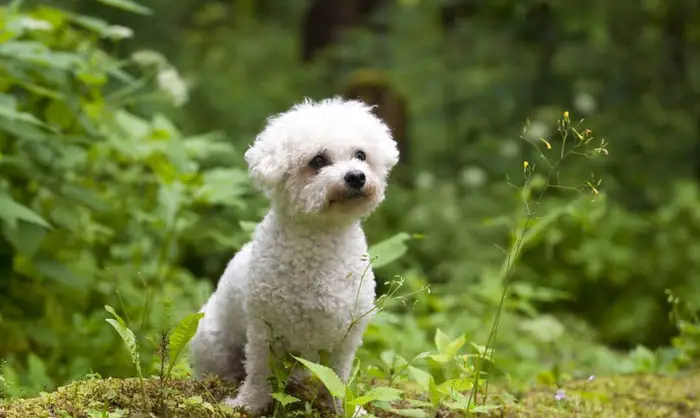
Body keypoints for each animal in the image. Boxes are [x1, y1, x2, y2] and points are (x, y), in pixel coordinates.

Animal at [190, 96, 400, 414]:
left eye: (361, 155)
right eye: (317, 161)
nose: (356, 176)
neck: (321, 241)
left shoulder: (345, 338)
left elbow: (338, 379)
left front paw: (346, 409)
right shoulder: (263, 331)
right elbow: (258, 372)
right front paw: (248, 404)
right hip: (214, 343)